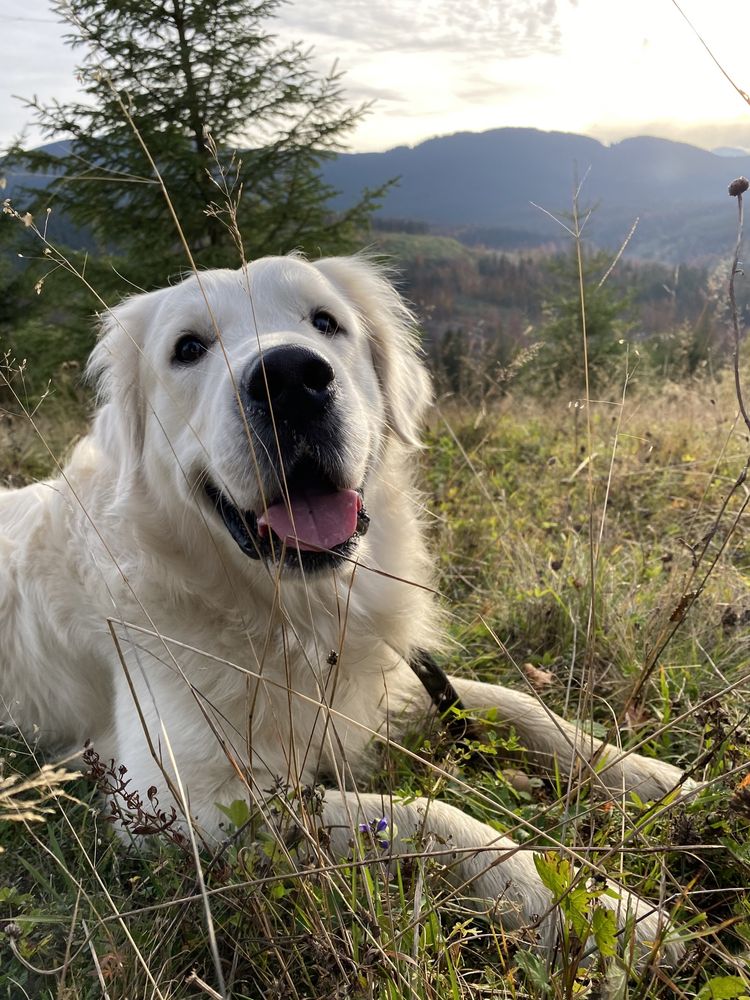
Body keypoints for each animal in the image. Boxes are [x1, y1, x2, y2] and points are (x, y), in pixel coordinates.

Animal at [0, 256, 692, 960]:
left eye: (326, 322)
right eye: (187, 348)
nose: (289, 378)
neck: (290, 609)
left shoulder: (389, 684)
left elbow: (523, 705)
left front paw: (655, 778)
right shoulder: (183, 798)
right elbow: (425, 813)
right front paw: (590, 904)